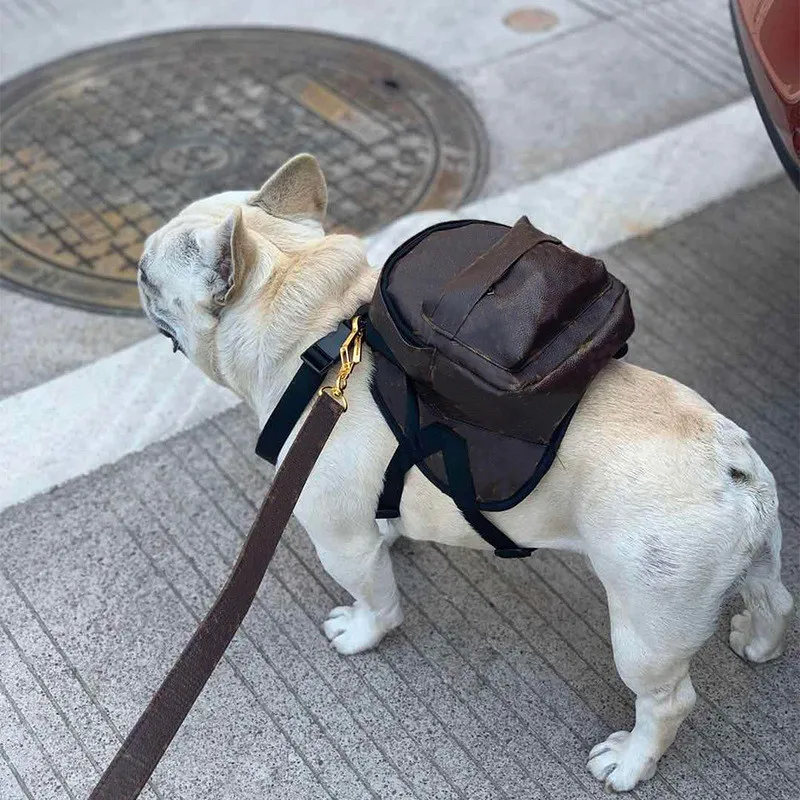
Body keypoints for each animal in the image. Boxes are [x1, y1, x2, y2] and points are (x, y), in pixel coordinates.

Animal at [139, 153, 792, 792]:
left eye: (147, 276)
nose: (137, 272)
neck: (313, 331)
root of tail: (732, 464)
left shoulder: (340, 541)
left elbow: (376, 598)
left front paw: (362, 633)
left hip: (647, 627)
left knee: (668, 701)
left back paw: (630, 763)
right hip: (748, 561)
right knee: (774, 600)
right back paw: (756, 644)